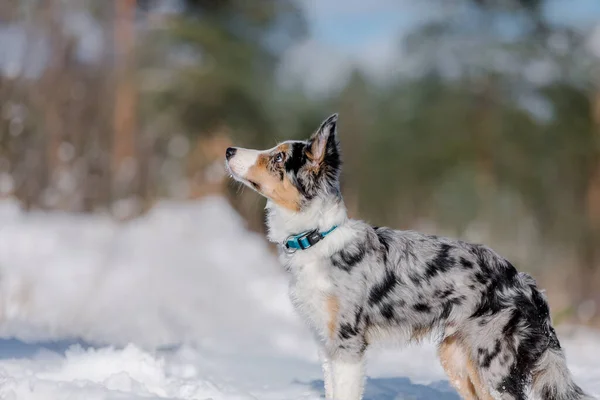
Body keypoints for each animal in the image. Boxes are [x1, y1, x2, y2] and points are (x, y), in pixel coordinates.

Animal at [225, 113, 592, 400]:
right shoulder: (327, 345)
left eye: (278, 157)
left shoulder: (347, 346)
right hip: (457, 358)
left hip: (492, 366)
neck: (316, 237)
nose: (228, 150)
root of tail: (527, 283)